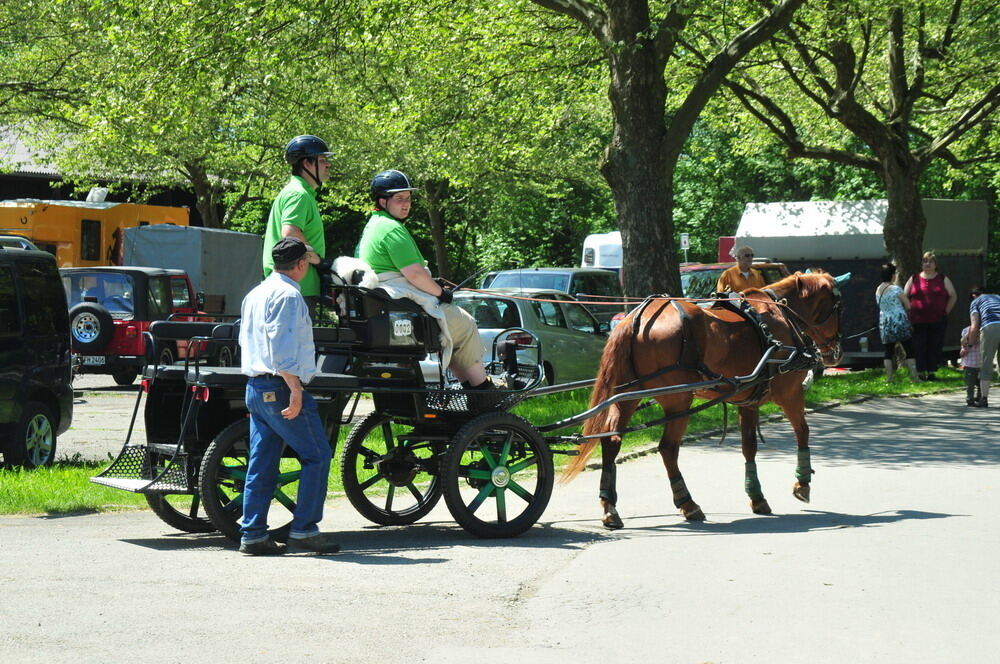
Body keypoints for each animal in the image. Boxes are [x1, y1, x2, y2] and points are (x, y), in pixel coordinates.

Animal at [568, 272, 840, 528]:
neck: (779, 316)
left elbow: (749, 446)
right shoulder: (790, 393)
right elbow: (803, 432)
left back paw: (609, 507)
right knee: (668, 448)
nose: (835, 352)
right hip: (678, 399)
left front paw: (757, 497)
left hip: (627, 396)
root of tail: (638, 319)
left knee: (612, 441)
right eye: (839, 305)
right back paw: (688, 503)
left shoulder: (748, 401)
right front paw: (802, 483)